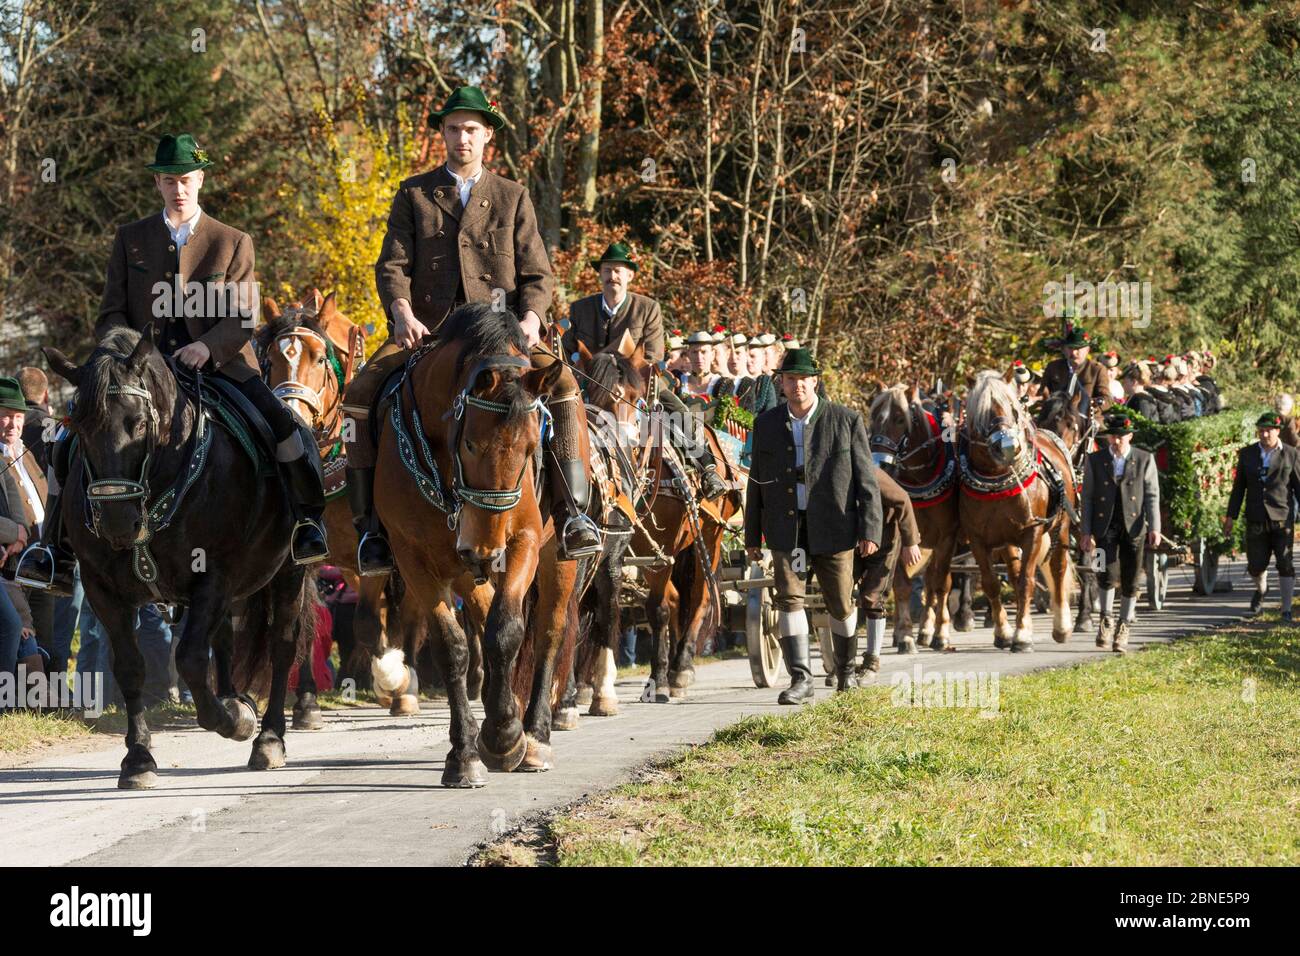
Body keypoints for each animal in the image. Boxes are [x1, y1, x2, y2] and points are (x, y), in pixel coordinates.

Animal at [49, 330, 318, 790]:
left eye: (140, 423)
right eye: (80, 428)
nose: (117, 522)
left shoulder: (212, 575)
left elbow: (191, 658)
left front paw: (233, 721)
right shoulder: (103, 589)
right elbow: (131, 667)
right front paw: (138, 758)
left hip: (288, 572)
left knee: (281, 645)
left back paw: (268, 737)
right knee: (224, 638)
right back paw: (234, 697)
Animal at [371, 306, 574, 785]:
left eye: (531, 447)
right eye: (469, 443)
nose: (485, 550)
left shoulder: (524, 541)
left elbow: (507, 630)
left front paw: (505, 736)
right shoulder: (415, 559)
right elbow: (453, 647)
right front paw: (465, 754)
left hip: (556, 559)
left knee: (548, 633)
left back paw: (535, 736)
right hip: (461, 569)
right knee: (481, 618)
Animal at [572, 335, 743, 702]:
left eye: (634, 398)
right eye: (590, 394)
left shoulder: (662, 551)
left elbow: (657, 609)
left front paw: (660, 679)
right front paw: (582, 686)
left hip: (709, 540)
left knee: (699, 599)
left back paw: (681, 667)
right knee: (679, 600)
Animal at [868, 385, 961, 655]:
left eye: (900, 419)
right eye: (873, 417)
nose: (879, 465)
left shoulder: (947, 536)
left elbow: (941, 584)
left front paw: (940, 634)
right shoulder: (904, 534)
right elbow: (901, 586)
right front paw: (906, 636)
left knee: (932, 582)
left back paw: (928, 631)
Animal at [956, 369, 1076, 655]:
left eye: (1013, 408)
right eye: (981, 412)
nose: (1008, 446)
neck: (997, 480)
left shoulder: (1032, 533)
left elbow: (1026, 582)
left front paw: (1022, 635)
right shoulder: (978, 540)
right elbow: (991, 583)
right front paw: (1003, 633)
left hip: (1061, 527)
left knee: (1058, 568)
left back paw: (1062, 626)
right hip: (1006, 541)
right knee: (1012, 571)